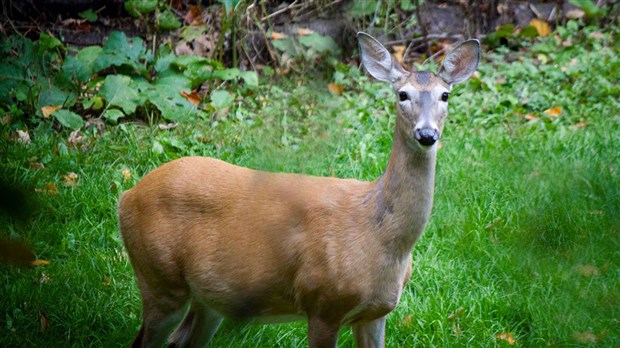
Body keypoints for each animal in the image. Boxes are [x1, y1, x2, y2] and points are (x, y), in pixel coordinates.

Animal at [120, 31, 480, 346]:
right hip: (159, 279)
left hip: (208, 299)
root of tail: (127, 197)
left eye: (445, 95)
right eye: (402, 94)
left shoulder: (376, 313)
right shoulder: (322, 302)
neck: (381, 239)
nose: (427, 134)